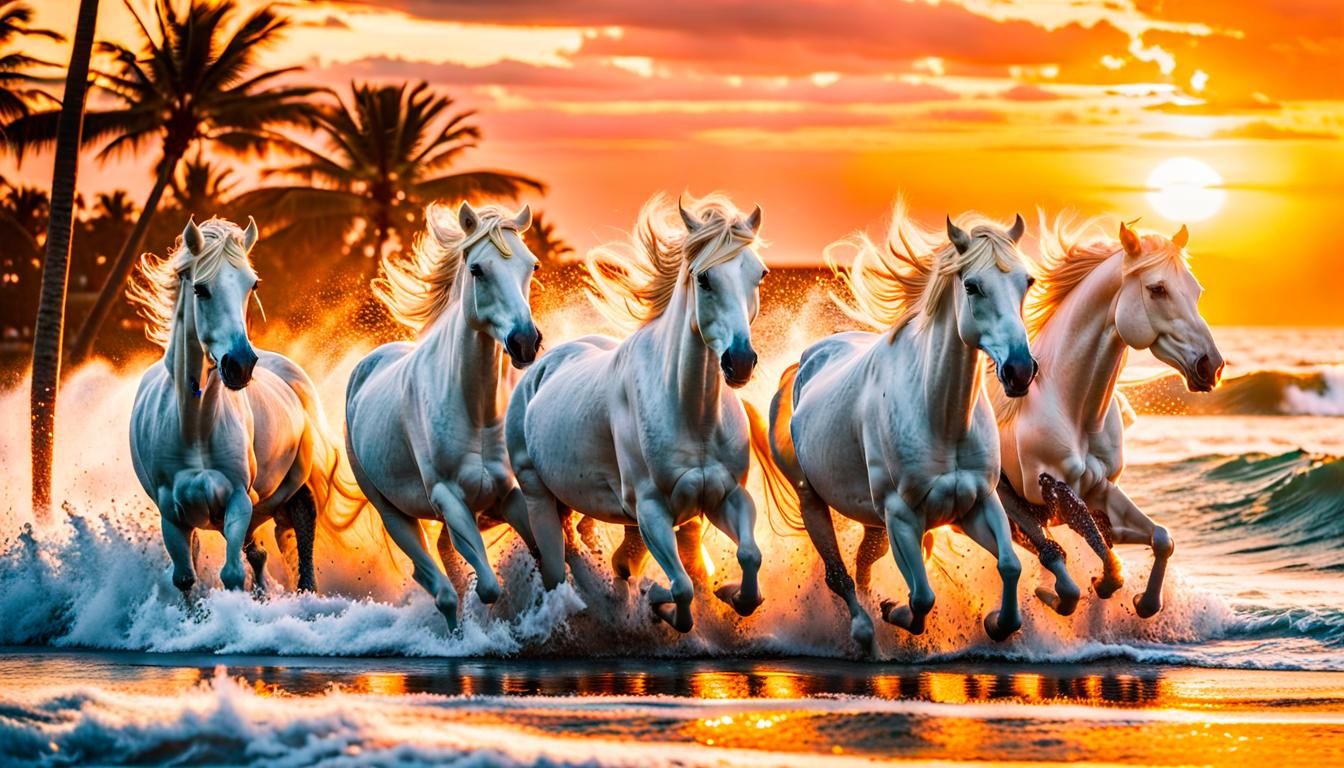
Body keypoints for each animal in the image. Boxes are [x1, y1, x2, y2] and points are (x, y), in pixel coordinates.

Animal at [129, 217, 341, 595]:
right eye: (201, 289)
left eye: (252, 285)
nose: (240, 365)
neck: (195, 426)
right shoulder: (172, 516)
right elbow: (185, 578)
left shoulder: (238, 501)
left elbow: (232, 574)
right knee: (257, 551)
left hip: (290, 490)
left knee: (300, 533)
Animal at [344, 201, 542, 629]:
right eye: (477, 270)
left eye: (531, 265)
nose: (524, 341)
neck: (475, 410)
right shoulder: (449, 500)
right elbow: (488, 588)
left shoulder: (508, 493)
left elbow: (543, 553)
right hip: (392, 513)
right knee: (438, 586)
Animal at [506, 192, 766, 633]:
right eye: (704, 279)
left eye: (759, 274)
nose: (740, 362)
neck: (692, 416)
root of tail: (539, 369)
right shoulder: (651, 510)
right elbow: (681, 588)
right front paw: (656, 601)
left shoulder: (727, 496)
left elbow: (749, 559)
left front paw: (729, 593)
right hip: (538, 495)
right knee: (557, 566)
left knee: (596, 549)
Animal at [753, 202, 1036, 652]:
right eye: (973, 286)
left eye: (1026, 281)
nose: (1020, 370)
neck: (941, 417)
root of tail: (802, 365)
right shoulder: (901, 516)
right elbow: (921, 597)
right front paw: (893, 610)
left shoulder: (978, 501)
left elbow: (1010, 566)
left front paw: (995, 623)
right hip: (813, 501)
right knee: (839, 575)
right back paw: (863, 628)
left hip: (872, 521)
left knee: (861, 567)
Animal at [990, 218, 1223, 618]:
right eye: (1157, 289)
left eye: (1197, 290)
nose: (1212, 366)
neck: (1072, 407)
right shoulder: (1051, 487)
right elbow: (1104, 561)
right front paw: (1092, 586)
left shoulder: (1102, 490)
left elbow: (1161, 538)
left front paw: (1144, 602)